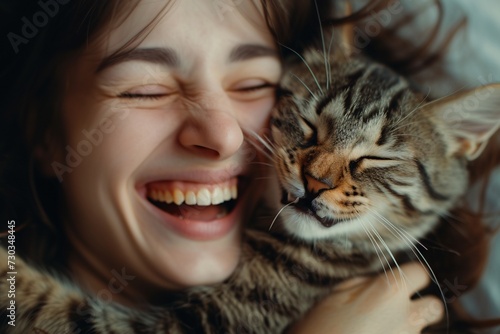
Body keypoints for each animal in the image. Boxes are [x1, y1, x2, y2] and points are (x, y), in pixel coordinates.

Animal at [0, 26, 500, 334]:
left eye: (375, 158)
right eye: (309, 125)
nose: (315, 182)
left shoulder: (198, 323)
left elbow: (53, 307)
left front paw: (9, 269)